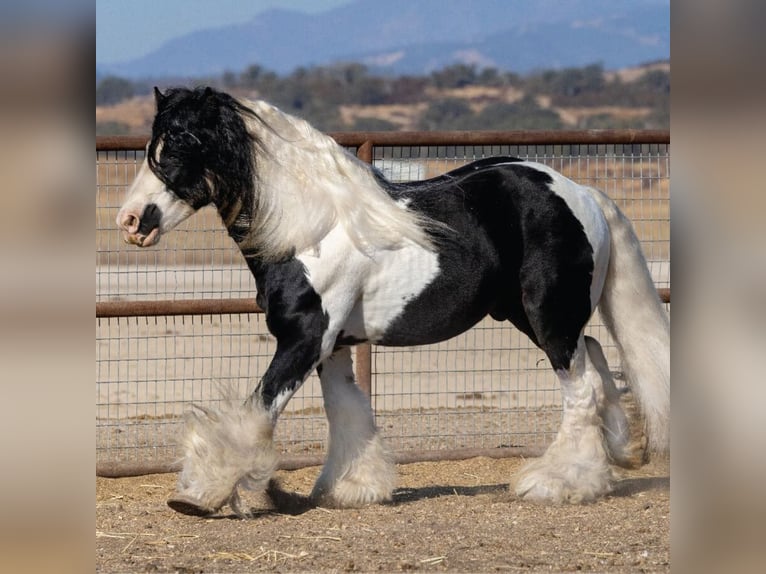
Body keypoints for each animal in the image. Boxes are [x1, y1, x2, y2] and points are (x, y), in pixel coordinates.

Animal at [117, 86, 668, 516]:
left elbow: (258, 411)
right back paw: (619, 454)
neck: (310, 228)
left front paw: (199, 493)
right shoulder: (333, 345)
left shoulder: (303, 339)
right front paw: (351, 487)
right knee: (594, 358)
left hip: (547, 315)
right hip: (530, 315)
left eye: (182, 144)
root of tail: (583, 193)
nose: (132, 221)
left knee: (582, 386)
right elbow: (346, 410)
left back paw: (558, 482)